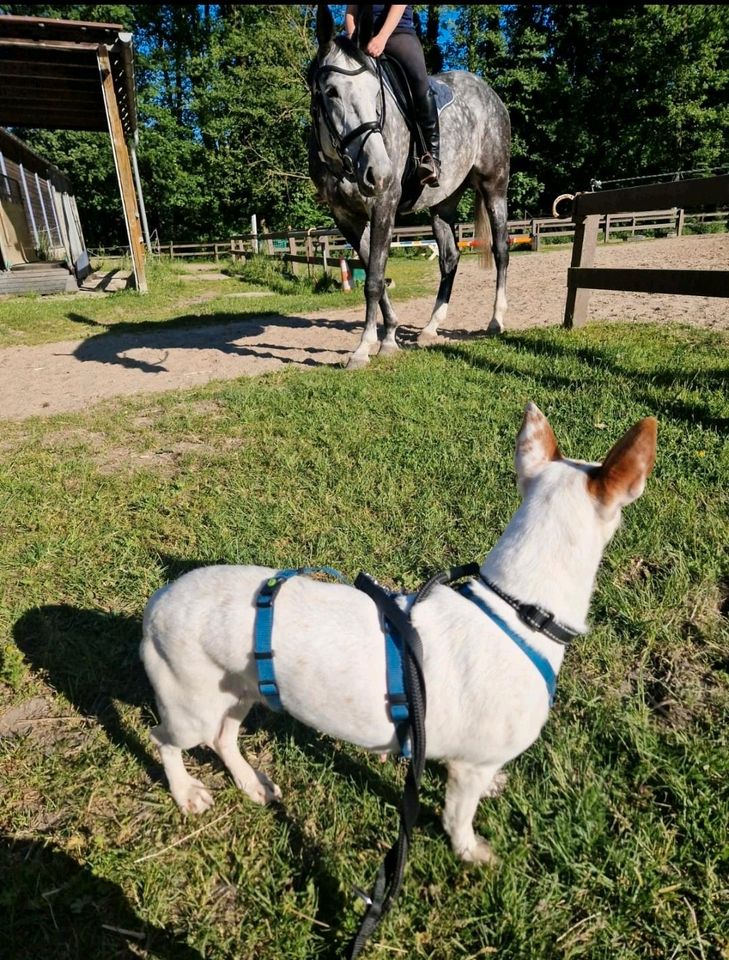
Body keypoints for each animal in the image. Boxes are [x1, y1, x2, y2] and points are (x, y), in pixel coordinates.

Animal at [139, 402, 656, 868]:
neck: (515, 609)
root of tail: (158, 600)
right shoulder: (467, 770)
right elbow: (458, 817)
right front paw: (470, 852)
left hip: (236, 692)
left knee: (223, 738)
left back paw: (250, 782)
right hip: (190, 708)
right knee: (164, 738)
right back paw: (185, 791)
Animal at [310, 4, 510, 368]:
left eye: (376, 92)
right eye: (331, 92)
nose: (378, 172)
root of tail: (487, 92)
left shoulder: (384, 205)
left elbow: (375, 279)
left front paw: (367, 347)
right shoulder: (346, 218)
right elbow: (374, 272)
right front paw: (389, 333)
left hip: (495, 186)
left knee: (501, 250)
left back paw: (496, 320)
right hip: (443, 202)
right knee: (450, 258)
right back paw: (430, 328)